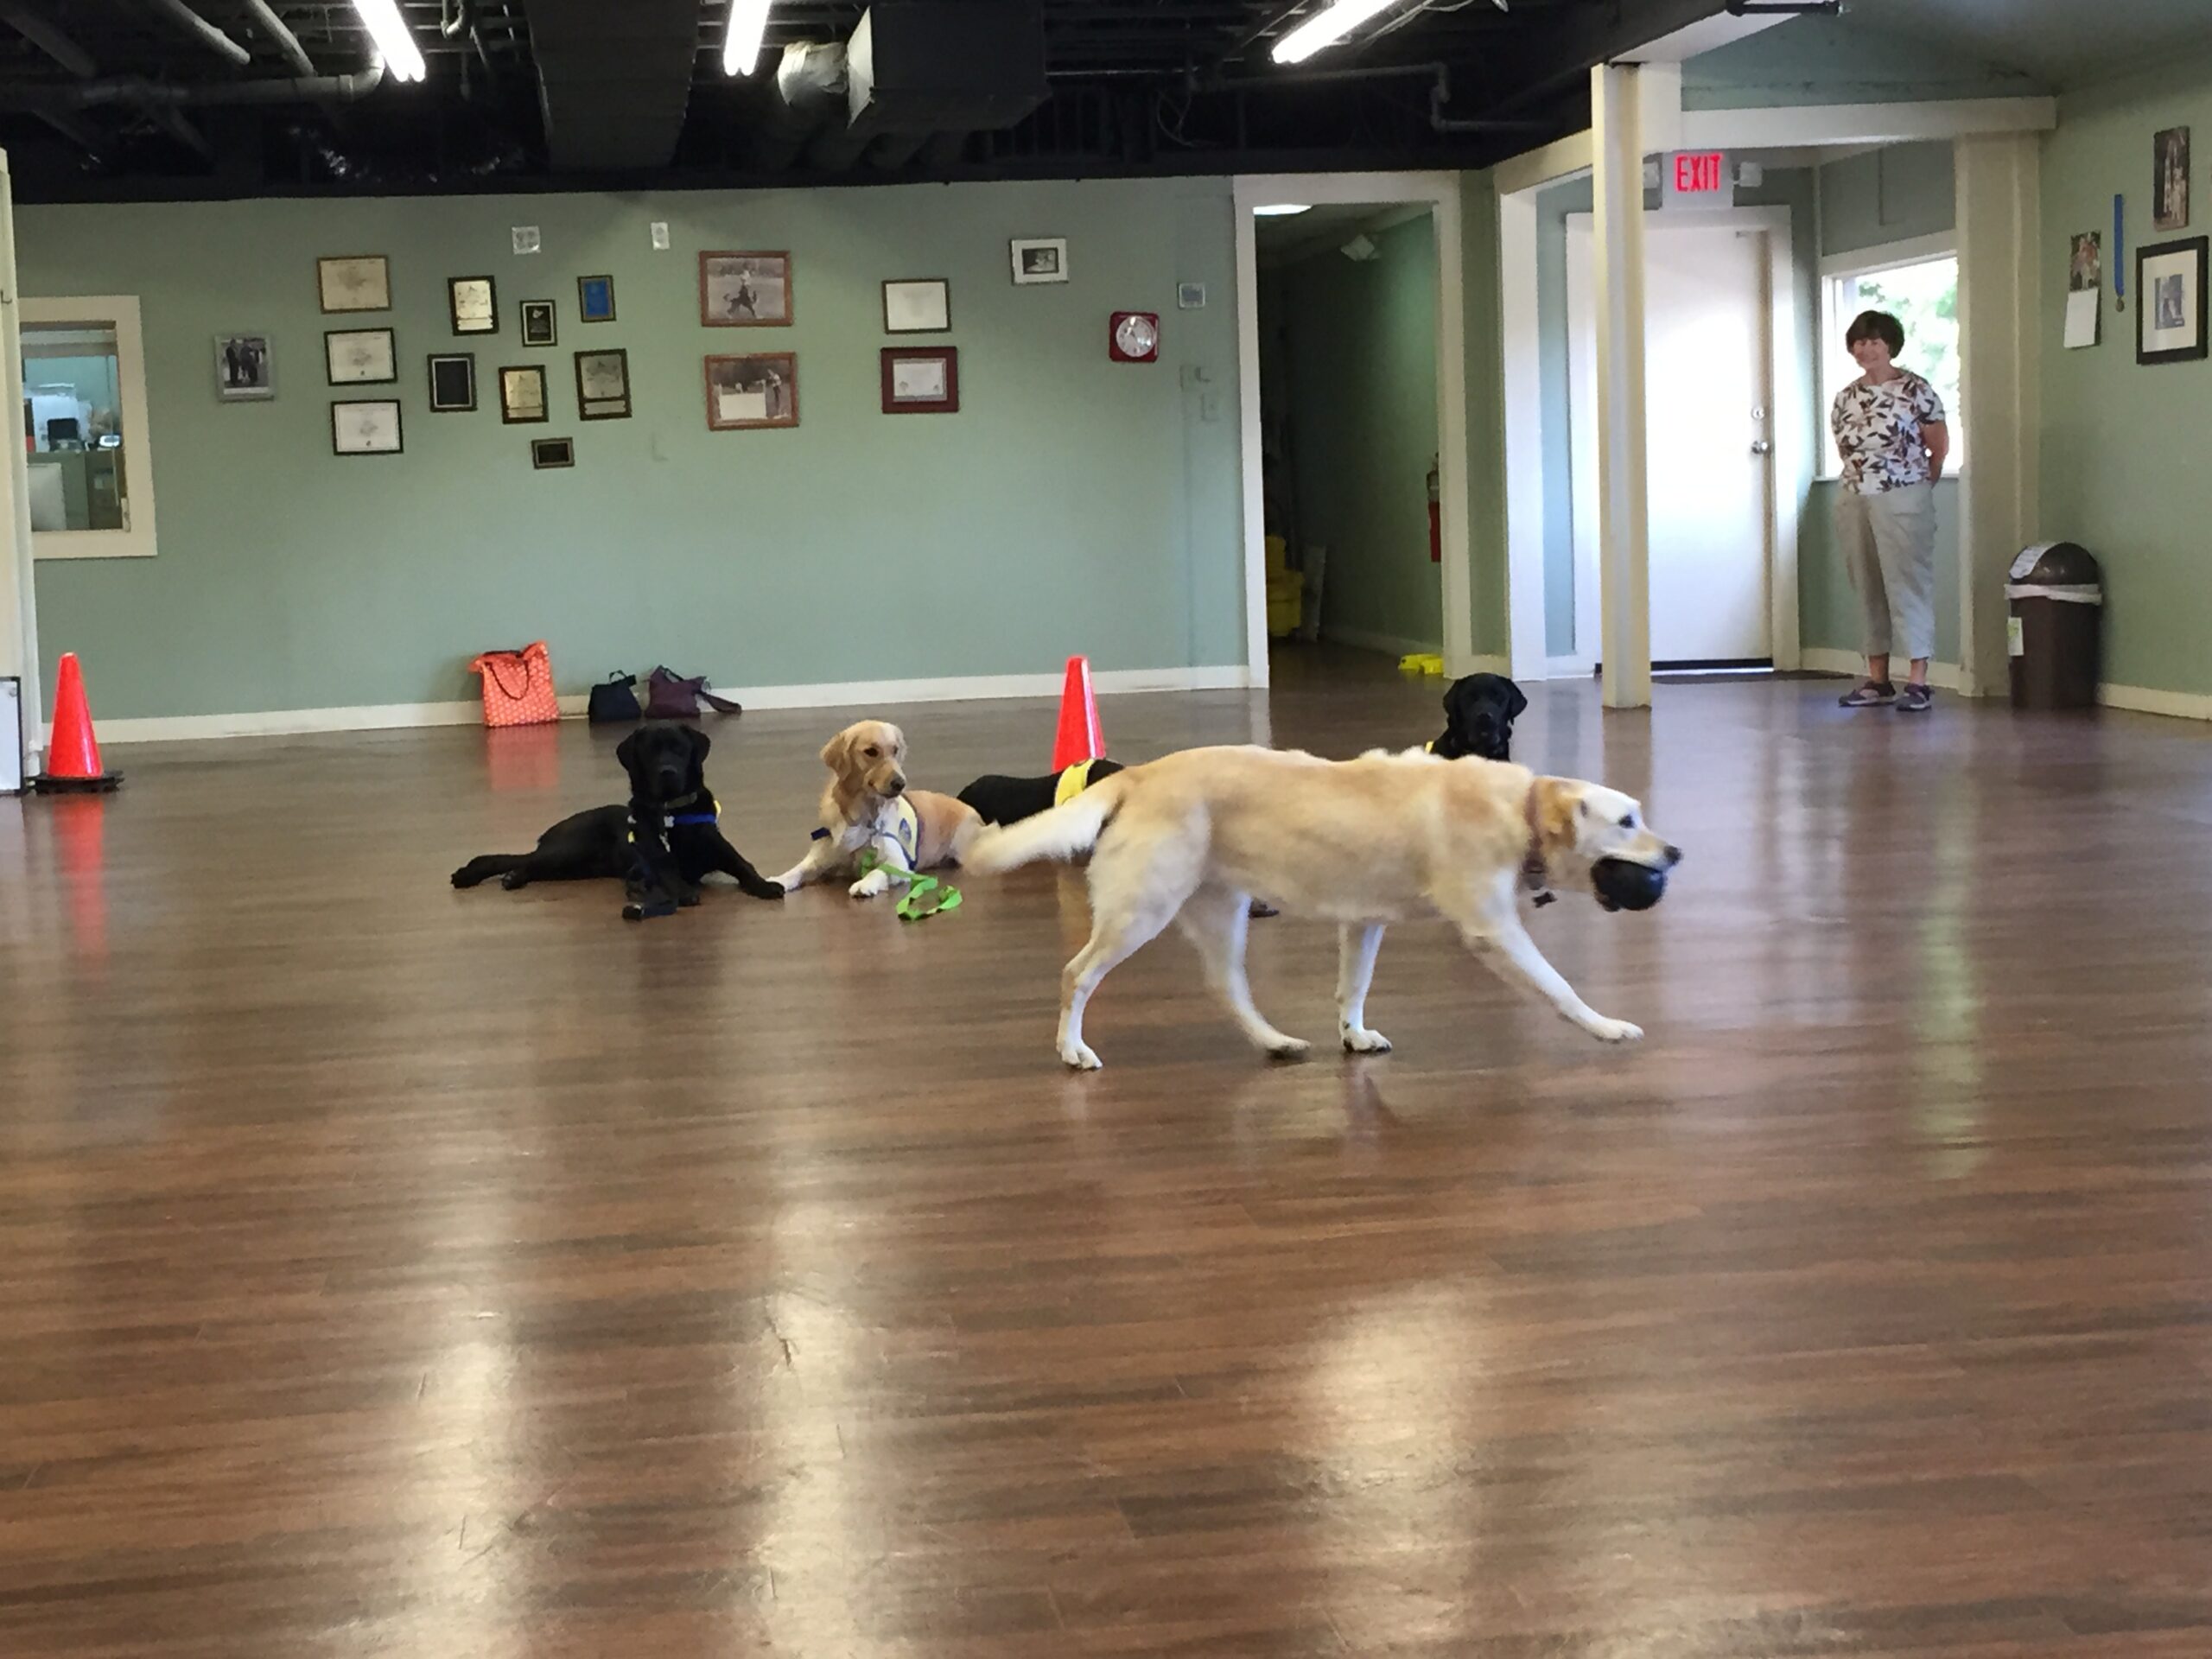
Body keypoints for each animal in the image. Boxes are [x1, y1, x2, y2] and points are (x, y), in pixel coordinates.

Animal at [444, 725, 783, 925]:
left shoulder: (716, 844)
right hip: (570, 851)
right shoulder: (653, 851)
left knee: (530, 865)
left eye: (680, 749)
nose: (668, 772)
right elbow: (669, 871)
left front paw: (765, 886)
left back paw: (514, 878)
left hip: (576, 868)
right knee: (520, 859)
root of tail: (553, 830)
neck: (670, 812)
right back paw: (483, 874)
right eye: (650, 752)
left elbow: (744, 865)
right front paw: (683, 891)